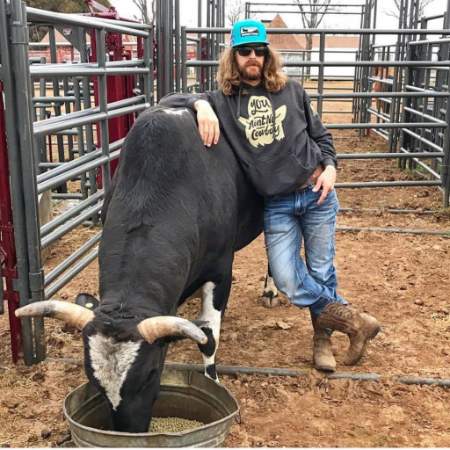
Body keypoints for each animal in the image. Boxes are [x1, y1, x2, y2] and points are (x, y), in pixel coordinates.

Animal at [15, 105, 266, 432]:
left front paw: (213, 379)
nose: (128, 432)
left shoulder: (221, 272)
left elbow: (209, 339)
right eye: (93, 379)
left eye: (150, 373)